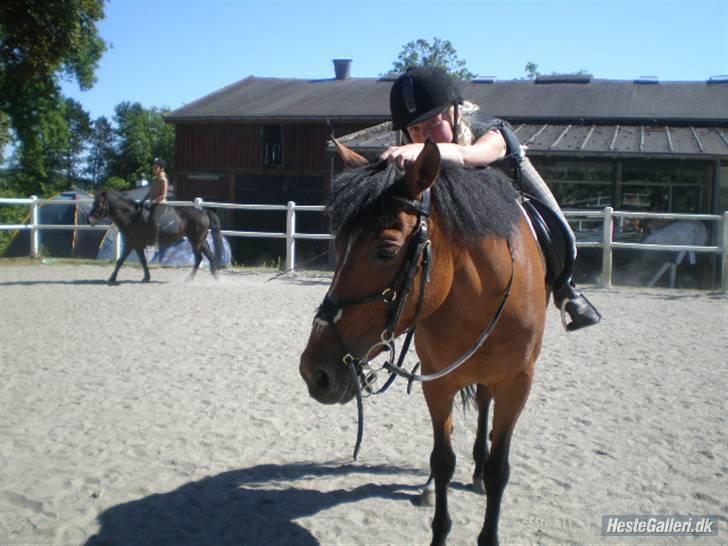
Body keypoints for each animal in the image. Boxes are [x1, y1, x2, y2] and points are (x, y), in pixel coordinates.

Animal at [86, 189, 222, 282]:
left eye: (98, 204)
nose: (89, 220)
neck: (131, 217)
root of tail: (204, 212)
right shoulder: (137, 245)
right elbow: (142, 261)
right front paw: (146, 277)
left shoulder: (131, 243)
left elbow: (120, 261)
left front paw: (112, 278)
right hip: (200, 241)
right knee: (209, 256)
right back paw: (215, 277)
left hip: (196, 241)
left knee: (199, 258)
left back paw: (190, 279)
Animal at [300, 141, 544, 544]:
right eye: (339, 243)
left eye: (386, 249)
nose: (314, 372)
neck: (480, 298)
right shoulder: (438, 383)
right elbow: (442, 460)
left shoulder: (517, 384)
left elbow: (499, 469)